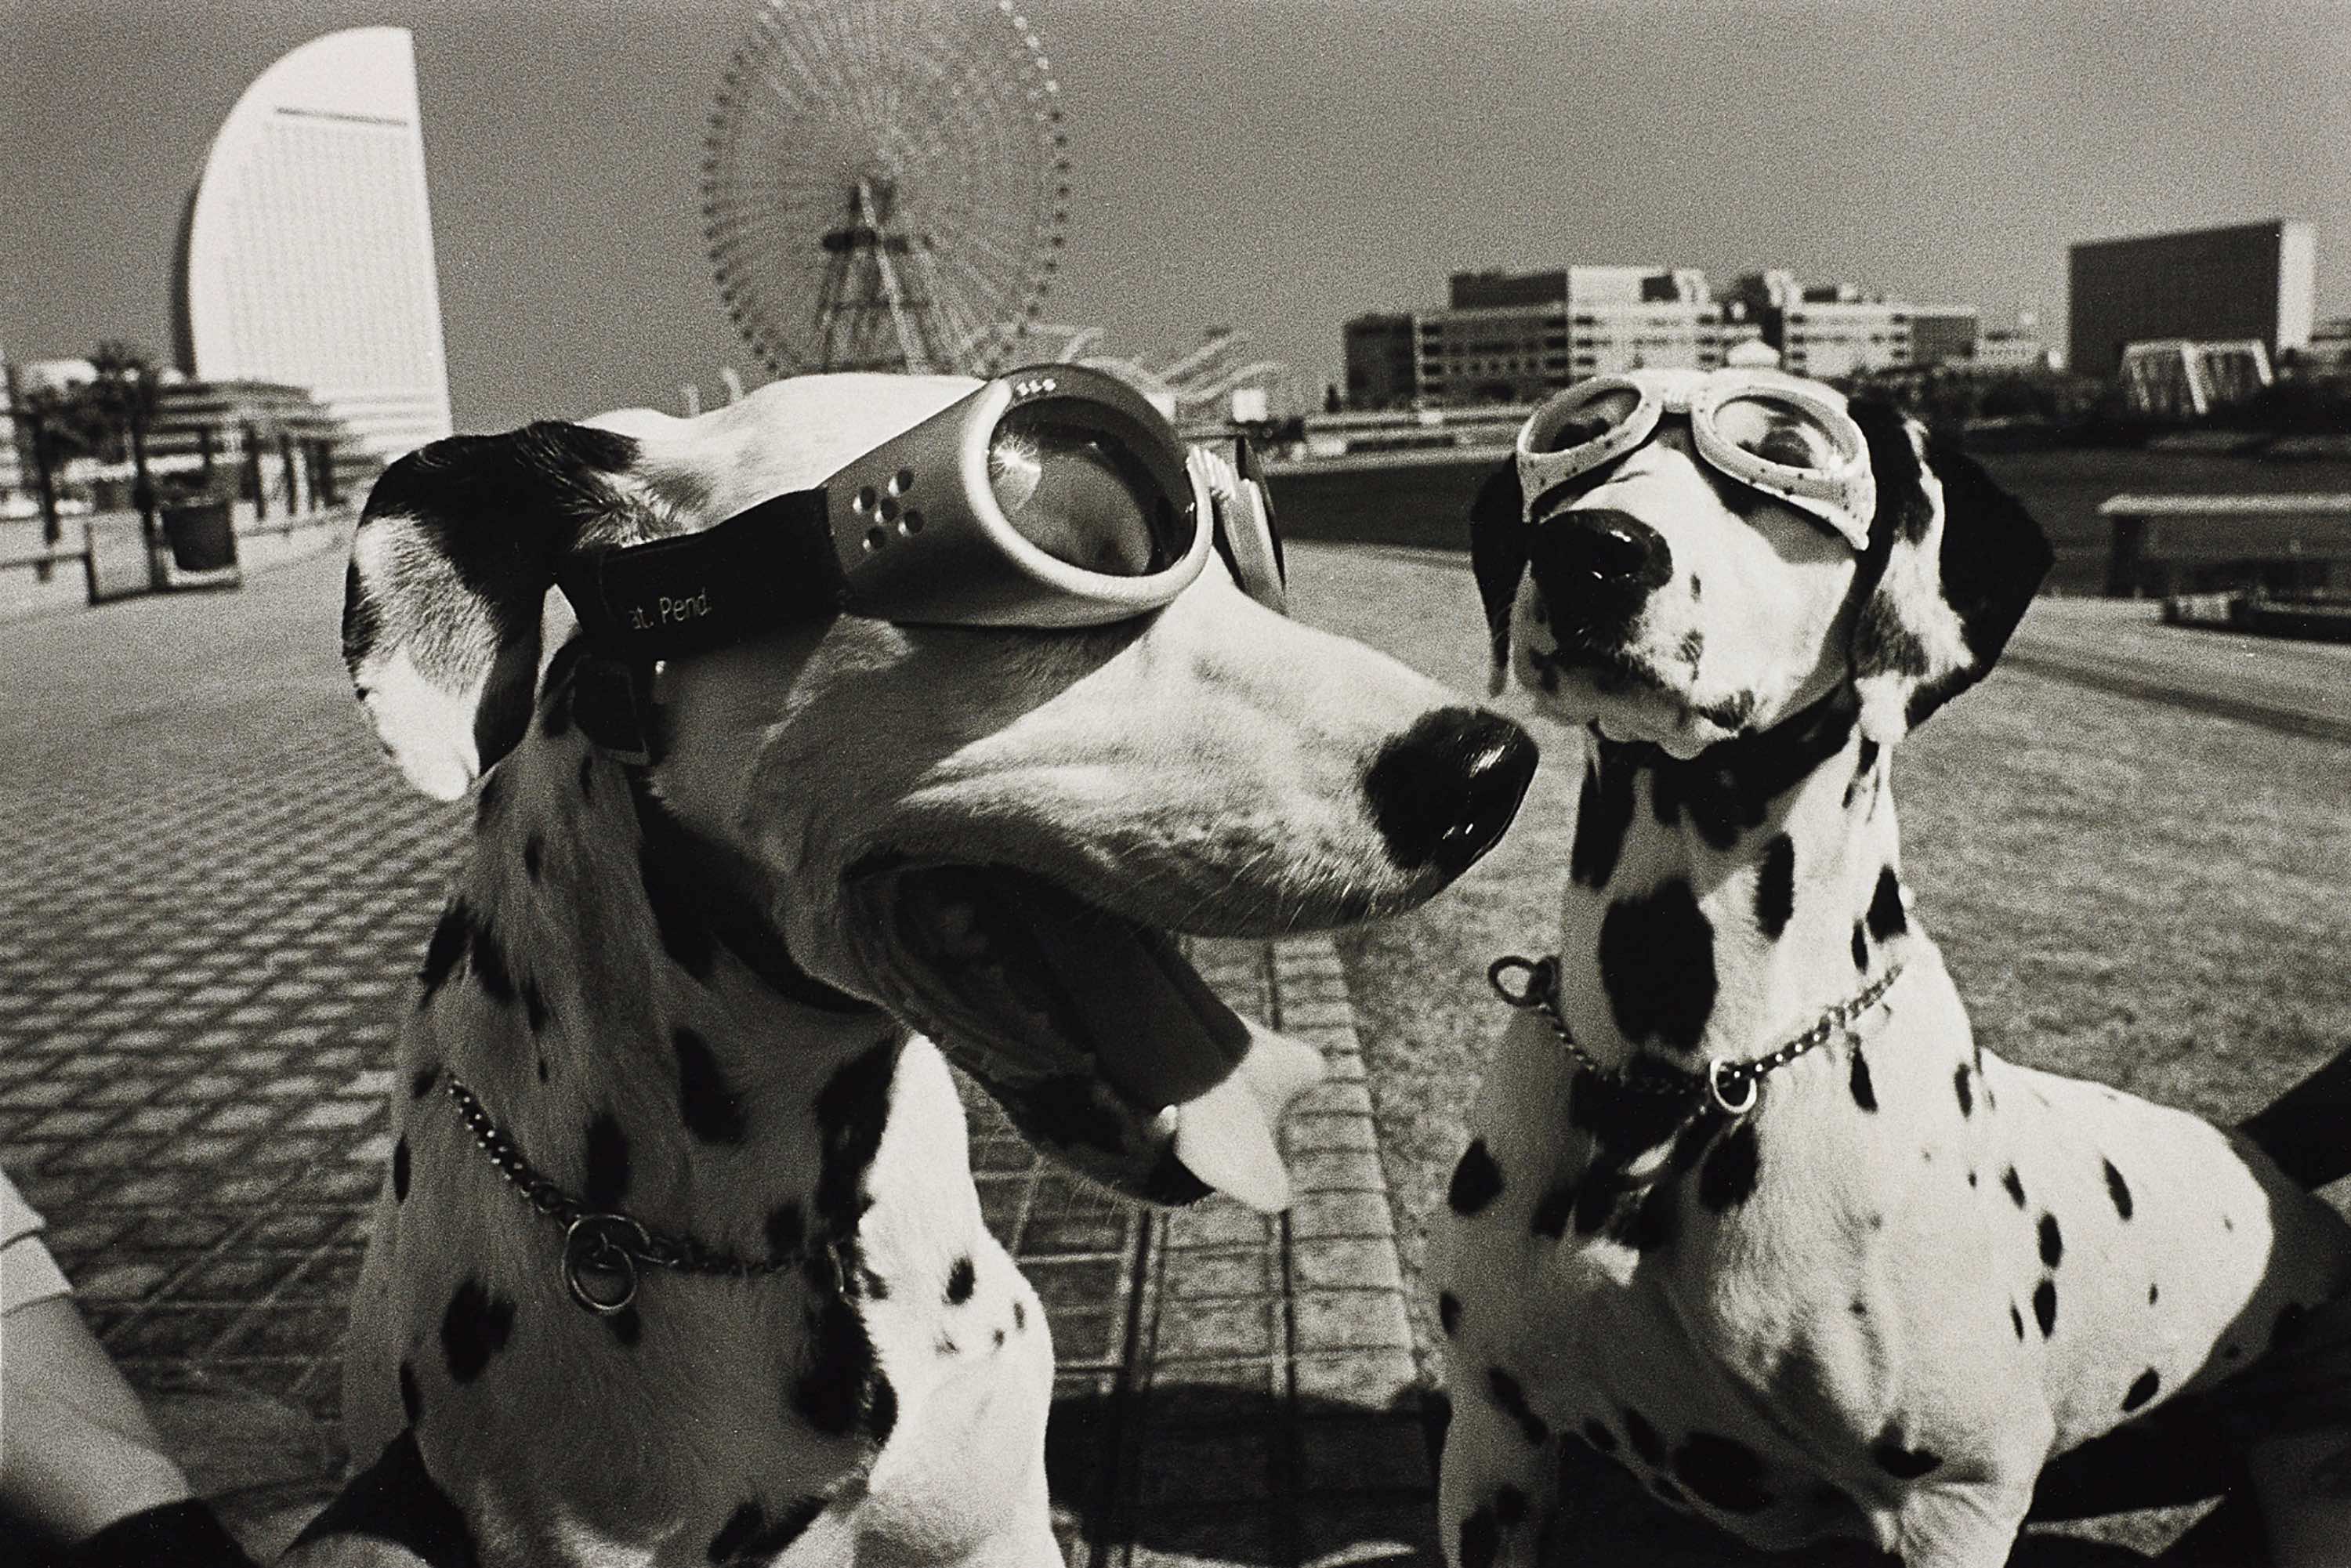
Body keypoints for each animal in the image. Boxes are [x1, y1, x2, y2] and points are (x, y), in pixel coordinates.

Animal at [1434, 367, 2351, 1567]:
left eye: (1781, 454)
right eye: (1580, 439)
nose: (1593, 550)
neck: (1684, 1077)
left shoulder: (1955, 1499)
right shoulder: (1492, 1441)